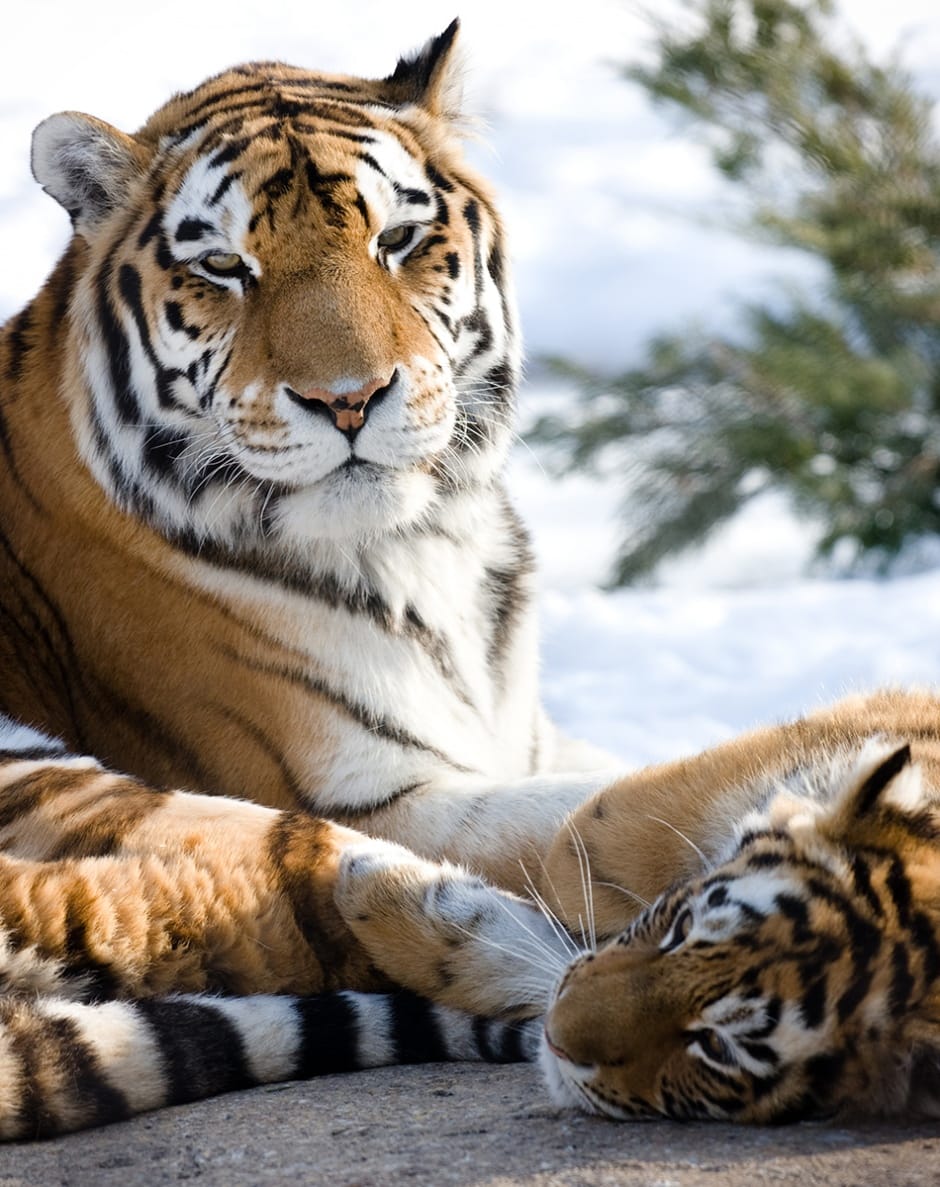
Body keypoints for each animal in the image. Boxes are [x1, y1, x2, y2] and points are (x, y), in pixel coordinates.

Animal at [340, 688, 940, 1124]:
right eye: (683, 925)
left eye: (716, 1047)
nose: (556, 1036)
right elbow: (577, 852)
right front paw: (363, 876)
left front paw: (371, 886)